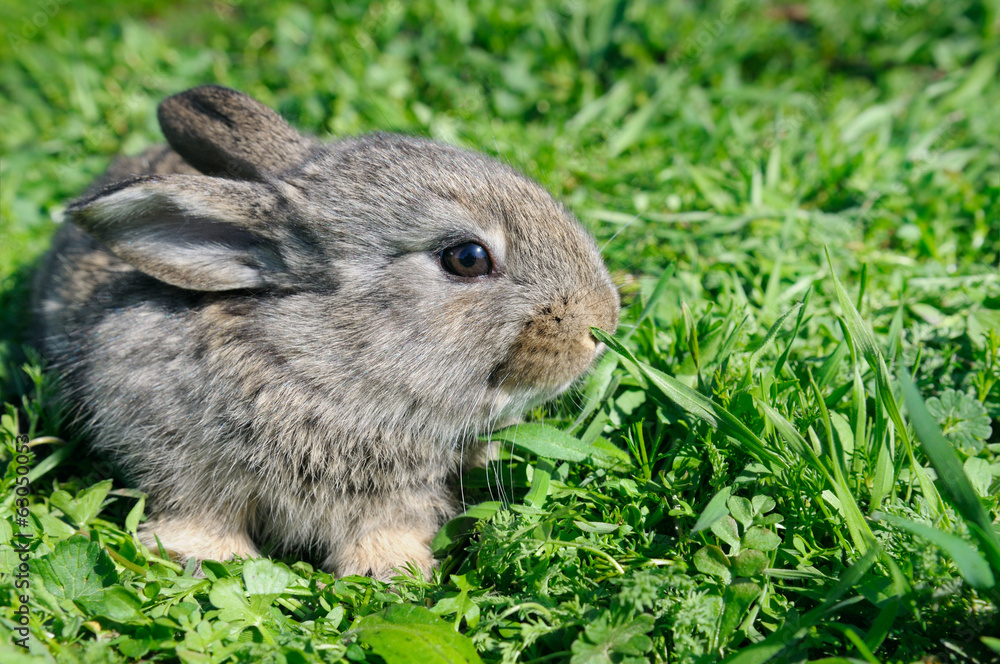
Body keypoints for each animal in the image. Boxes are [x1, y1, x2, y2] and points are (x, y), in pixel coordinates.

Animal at [32, 85, 620, 579]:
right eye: (467, 258)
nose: (600, 326)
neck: (324, 363)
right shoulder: (177, 463)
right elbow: (197, 512)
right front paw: (204, 555)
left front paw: (390, 570)